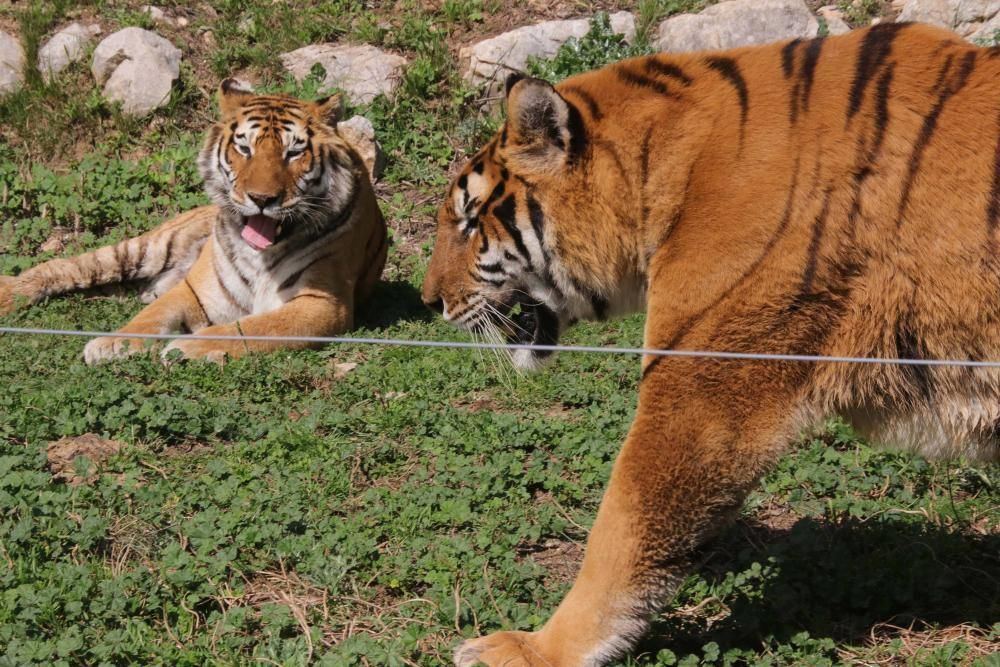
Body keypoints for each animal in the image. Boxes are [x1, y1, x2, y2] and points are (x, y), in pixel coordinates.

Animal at [0, 79, 386, 366]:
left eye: (293, 152)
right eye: (244, 149)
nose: (262, 199)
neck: (262, 253)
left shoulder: (322, 304)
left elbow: (250, 328)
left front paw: (186, 347)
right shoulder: (196, 290)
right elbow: (150, 318)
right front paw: (109, 344)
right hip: (146, 247)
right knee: (64, 266)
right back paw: (10, 294)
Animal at [420, 22, 1000, 667]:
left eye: (470, 221)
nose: (428, 300)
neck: (661, 174)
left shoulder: (700, 395)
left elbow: (622, 528)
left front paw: (536, 649)